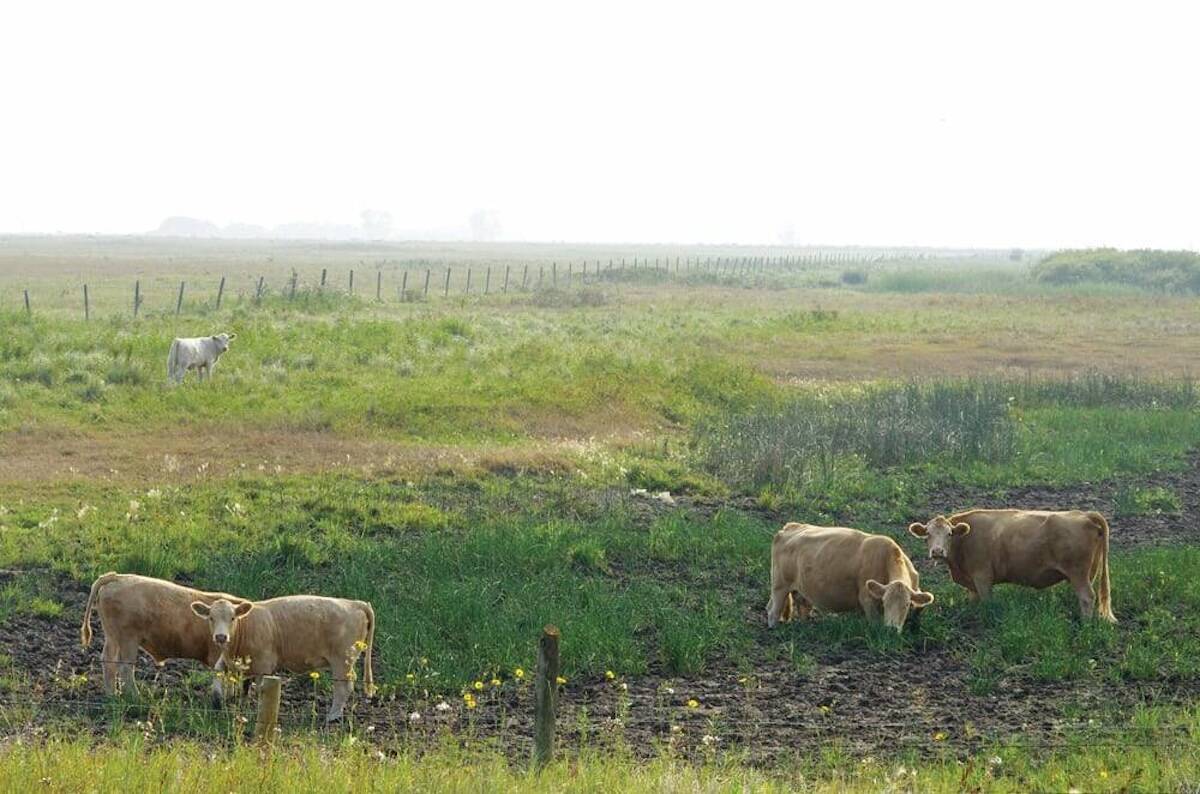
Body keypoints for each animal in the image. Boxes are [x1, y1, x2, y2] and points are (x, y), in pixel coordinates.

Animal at [80, 572, 249, 695]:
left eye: (233, 618)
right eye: (211, 618)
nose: (221, 637)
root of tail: (117, 577)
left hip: (113, 637)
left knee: (109, 661)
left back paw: (112, 694)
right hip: (127, 638)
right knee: (124, 667)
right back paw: (133, 696)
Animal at [190, 595, 376, 722]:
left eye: (232, 618)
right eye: (211, 618)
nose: (221, 637)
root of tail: (354, 603)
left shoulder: (264, 665)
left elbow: (261, 690)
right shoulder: (230, 661)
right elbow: (218, 670)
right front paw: (217, 700)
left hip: (342, 660)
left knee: (344, 686)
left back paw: (333, 715)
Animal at [766, 523, 934, 632]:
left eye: (906, 605)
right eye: (885, 602)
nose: (891, 629)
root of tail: (789, 527)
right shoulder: (867, 600)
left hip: (800, 590)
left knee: (801, 607)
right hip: (779, 586)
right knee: (772, 611)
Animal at [908, 509, 1115, 622]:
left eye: (949, 534)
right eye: (928, 534)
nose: (937, 551)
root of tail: (1084, 514)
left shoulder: (982, 577)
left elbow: (987, 602)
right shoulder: (971, 583)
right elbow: (973, 602)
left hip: (1078, 573)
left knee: (1087, 597)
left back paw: (1085, 624)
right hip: (1087, 573)